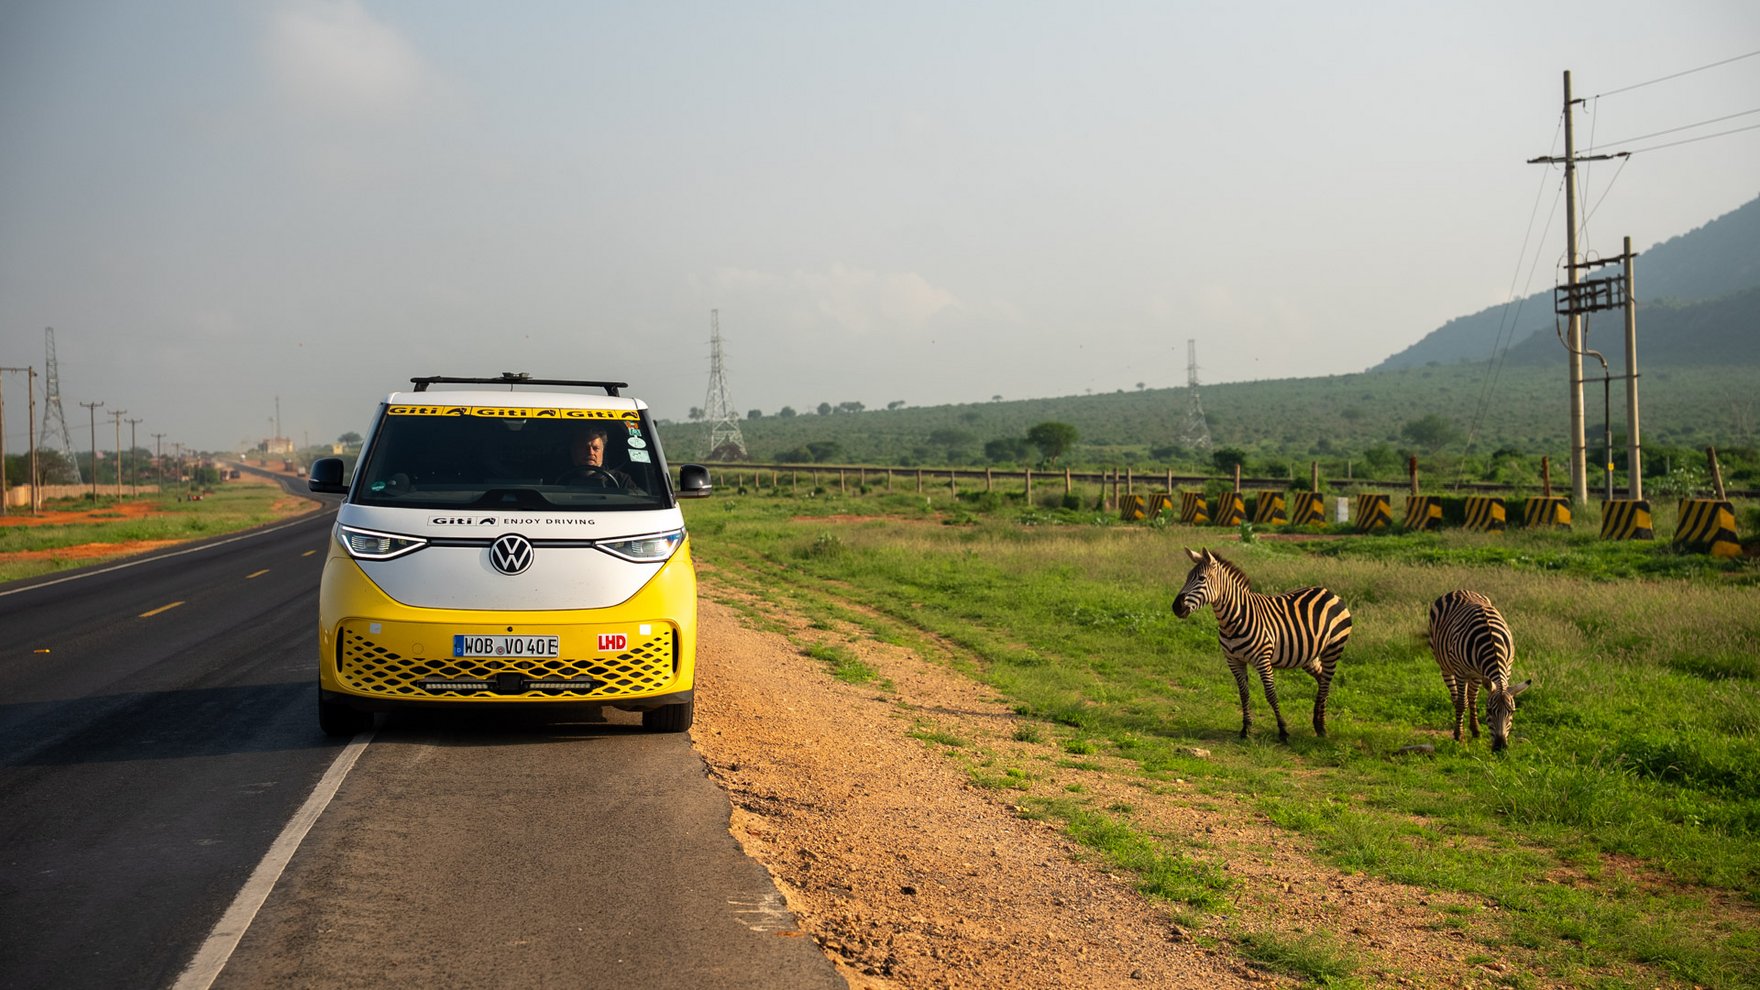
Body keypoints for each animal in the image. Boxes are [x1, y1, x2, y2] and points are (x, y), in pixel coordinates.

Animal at [1171, 547, 1352, 741]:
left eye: (1201, 579)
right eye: (1187, 577)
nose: (1176, 607)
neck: (1232, 620)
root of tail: (1328, 591)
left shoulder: (1262, 659)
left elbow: (1271, 694)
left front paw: (1283, 730)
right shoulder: (1233, 660)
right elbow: (1243, 693)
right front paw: (1246, 729)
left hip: (1333, 649)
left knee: (1325, 682)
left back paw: (1322, 727)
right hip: (1308, 655)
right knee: (1321, 679)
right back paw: (1317, 723)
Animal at [1427, 590, 1530, 752]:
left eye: (1512, 712)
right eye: (1489, 711)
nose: (1500, 747)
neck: (1491, 642)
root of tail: (1460, 590)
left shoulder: (1504, 669)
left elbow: (1472, 699)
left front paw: (1474, 730)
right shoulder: (1461, 672)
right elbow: (1462, 703)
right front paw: (1459, 736)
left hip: (1475, 674)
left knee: (1471, 698)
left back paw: (1474, 729)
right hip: (1445, 666)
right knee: (1457, 698)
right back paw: (1458, 729)